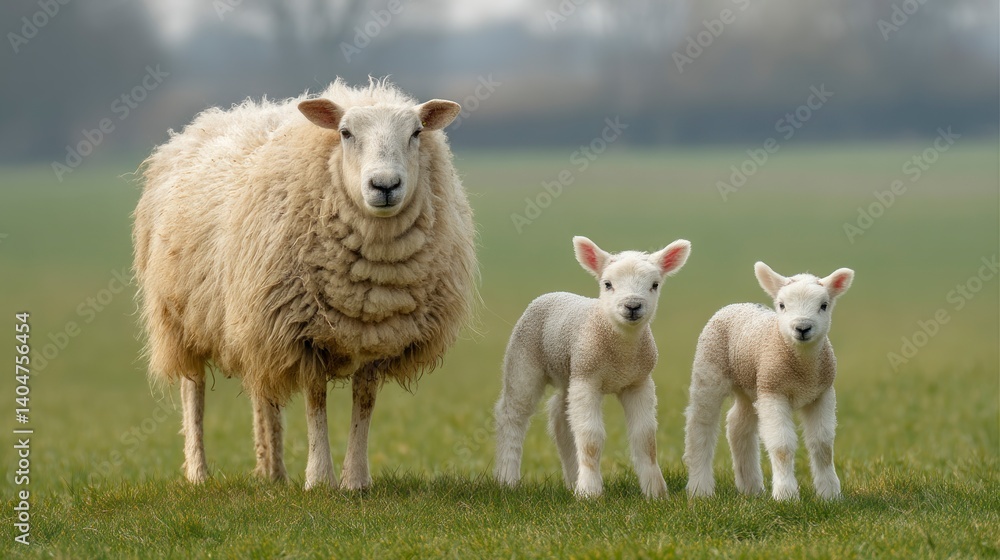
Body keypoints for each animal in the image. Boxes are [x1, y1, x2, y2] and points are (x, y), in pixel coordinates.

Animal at [132, 78, 477, 490]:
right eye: (345, 133)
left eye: (416, 133)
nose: (385, 185)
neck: (368, 280)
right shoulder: (303, 333)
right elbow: (316, 401)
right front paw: (320, 480)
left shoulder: (376, 336)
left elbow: (365, 401)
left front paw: (356, 481)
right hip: (180, 317)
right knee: (192, 389)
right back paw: (199, 474)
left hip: (253, 320)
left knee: (262, 391)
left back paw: (273, 473)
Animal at [494, 236, 691, 498]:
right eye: (607, 284)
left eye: (655, 285)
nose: (632, 306)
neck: (621, 354)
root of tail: (554, 293)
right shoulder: (588, 379)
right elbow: (590, 438)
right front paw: (590, 492)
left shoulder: (639, 382)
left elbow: (645, 437)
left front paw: (655, 492)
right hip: (524, 360)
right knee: (512, 416)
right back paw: (507, 479)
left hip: (570, 372)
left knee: (561, 419)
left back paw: (571, 481)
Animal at [683, 262, 854, 501]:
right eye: (782, 305)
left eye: (824, 305)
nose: (802, 328)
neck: (803, 371)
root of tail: (736, 304)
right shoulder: (773, 390)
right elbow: (782, 445)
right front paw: (786, 495)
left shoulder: (822, 393)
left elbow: (822, 444)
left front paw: (830, 494)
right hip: (709, 368)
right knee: (700, 425)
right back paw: (700, 489)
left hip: (751, 385)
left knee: (738, 425)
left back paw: (751, 487)